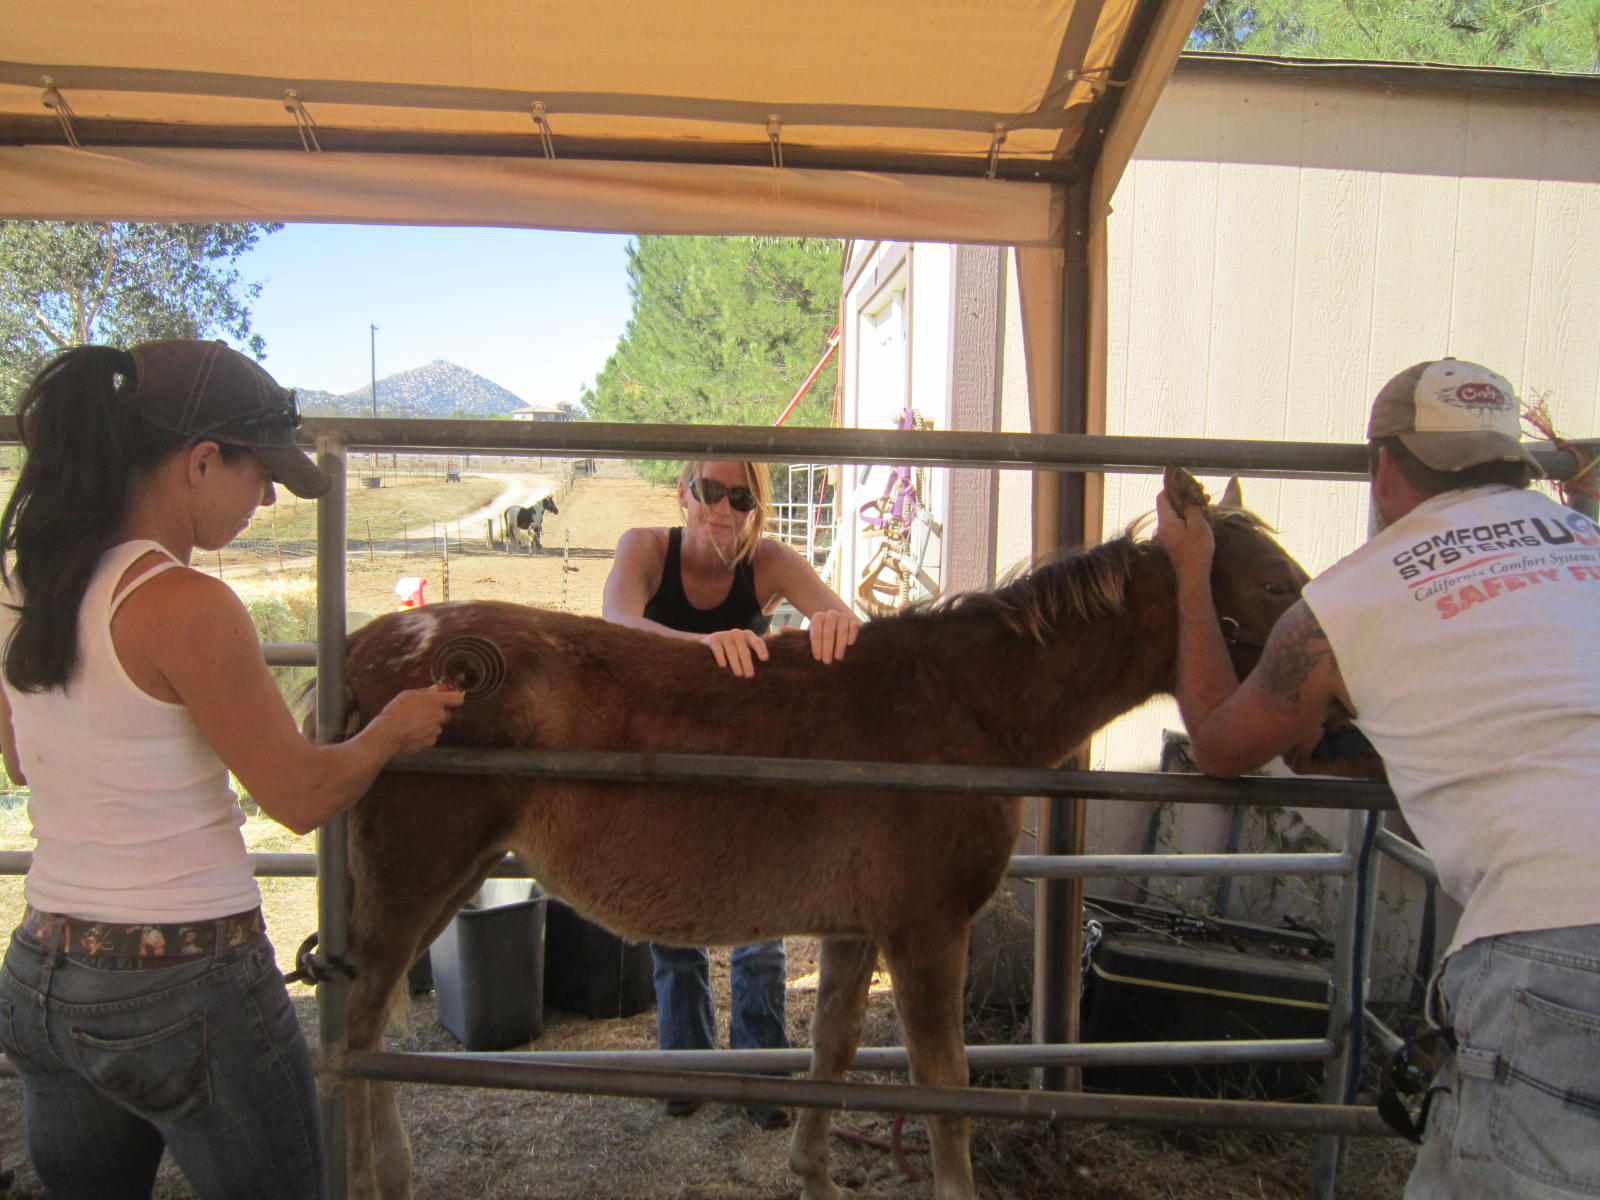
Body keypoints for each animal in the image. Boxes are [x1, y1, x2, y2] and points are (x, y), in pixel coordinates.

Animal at [330, 468, 1309, 1200]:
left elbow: (832, 1049)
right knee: (359, 1031)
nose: (1321, 706)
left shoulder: (856, 931)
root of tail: (368, 650)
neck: (966, 703)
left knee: (371, 1033)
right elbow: (943, 1082)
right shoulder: (926, 933)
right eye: (1276, 583)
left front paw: (814, 1172)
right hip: (415, 884)